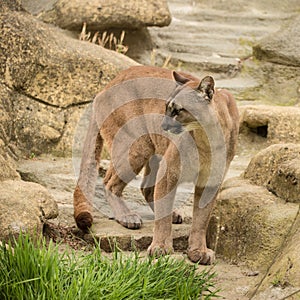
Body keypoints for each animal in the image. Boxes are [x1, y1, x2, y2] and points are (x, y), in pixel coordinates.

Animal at [74, 66, 239, 264]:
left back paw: (172, 214)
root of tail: (105, 87)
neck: (206, 139)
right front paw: (161, 248)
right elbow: (163, 217)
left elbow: (201, 220)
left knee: (146, 188)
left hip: (154, 152)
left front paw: (198, 251)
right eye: (166, 108)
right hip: (137, 146)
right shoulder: (169, 172)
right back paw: (127, 216)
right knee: (110, 182)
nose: (163, 125)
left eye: (178, 110)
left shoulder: (210, 182)